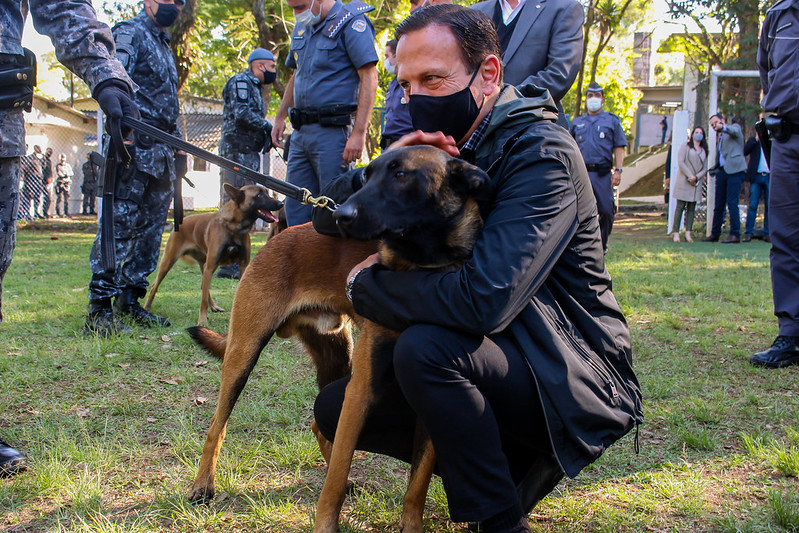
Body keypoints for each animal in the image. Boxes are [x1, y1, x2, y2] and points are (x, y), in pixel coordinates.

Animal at [145, 183, 282, 324]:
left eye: (267, 192)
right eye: (259, 195)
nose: (280, 203)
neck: (233, 228)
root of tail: (181, 220)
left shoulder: (243, 266)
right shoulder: (210, 267)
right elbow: (203, 300)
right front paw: (202, 320)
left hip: (205, 265)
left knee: (203, 287)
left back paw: (214, 306)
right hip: (170, 261)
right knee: (155, 285)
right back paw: (147, 308)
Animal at [187, 145, 490, 532]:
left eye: (401, 175)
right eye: (365, 175)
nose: (342, 214)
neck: (418, 276)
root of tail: (279, 236)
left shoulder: (429, 408)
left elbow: (417, 485)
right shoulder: (360, 390)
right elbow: (333, 485)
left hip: (337, 357)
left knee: (319, 425)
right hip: (245, 354)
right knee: (217, 426)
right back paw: (202, 486)